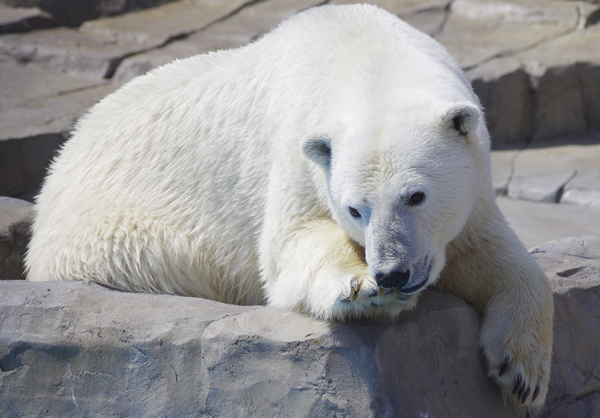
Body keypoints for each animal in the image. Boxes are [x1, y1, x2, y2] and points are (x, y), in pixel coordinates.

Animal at [27, 3, 552, 408]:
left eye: (416, 195)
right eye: (355, 209)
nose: (392, 272)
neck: (365, 52)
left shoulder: (470, 185)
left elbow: (490, 252)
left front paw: (522, 373)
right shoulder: (298, 151)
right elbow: (290, 244)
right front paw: (361, 288)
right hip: (115, 235)